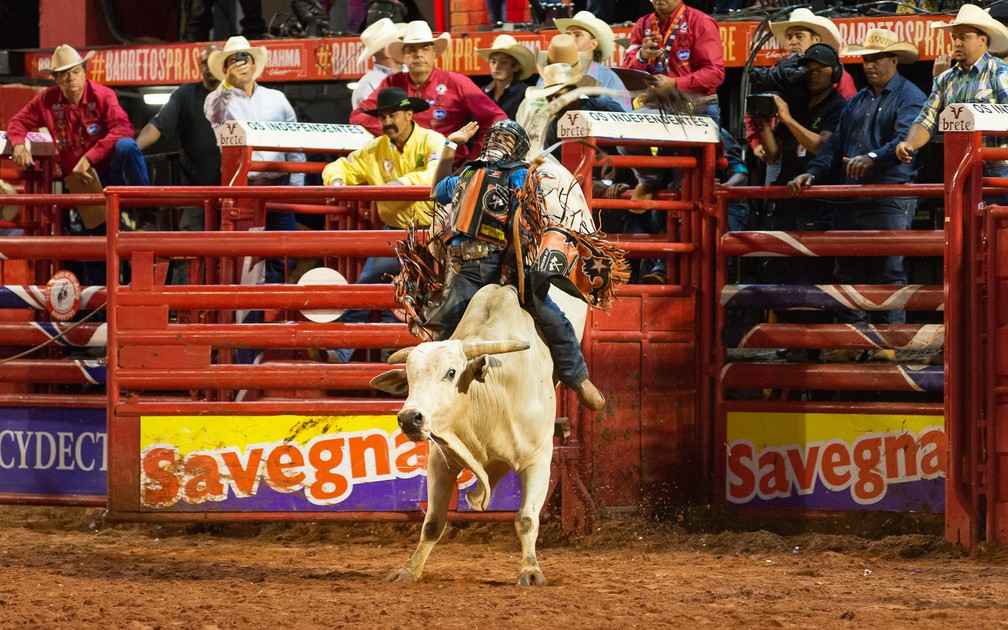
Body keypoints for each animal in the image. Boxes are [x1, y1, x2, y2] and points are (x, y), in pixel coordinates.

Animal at [372, 282, 560, 580]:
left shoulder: (538, 460)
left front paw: (530, 570)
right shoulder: (441, 461)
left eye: (451, 372)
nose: (409, 418)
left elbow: (527, 518)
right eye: (410, 378)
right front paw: (409, 569)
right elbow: (432, 523)